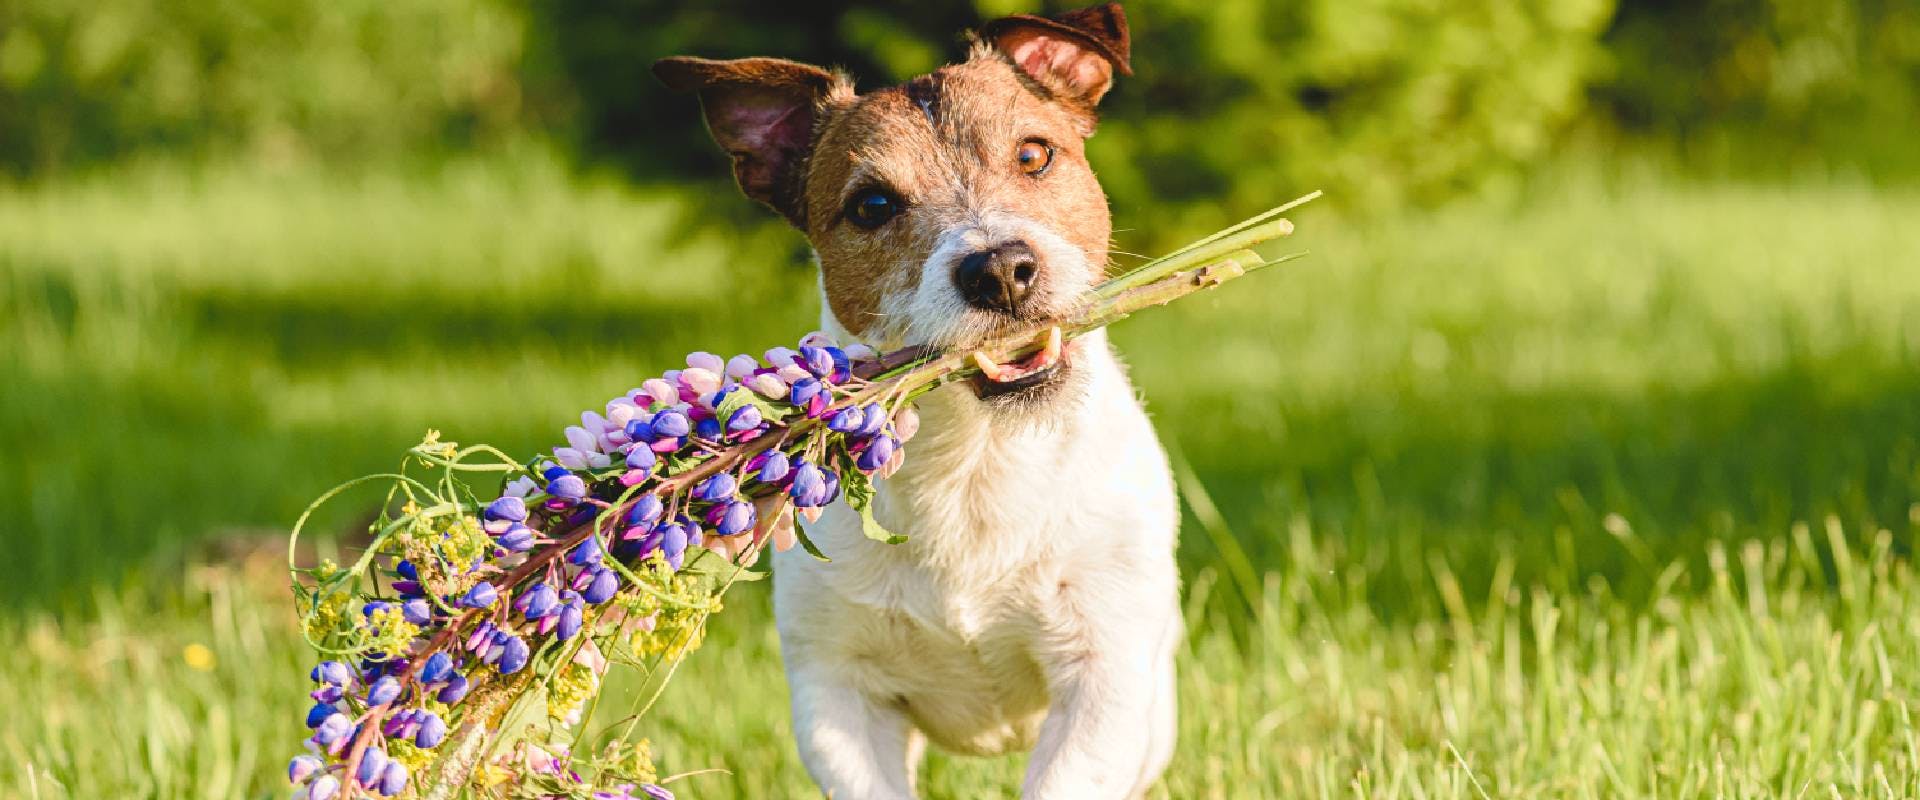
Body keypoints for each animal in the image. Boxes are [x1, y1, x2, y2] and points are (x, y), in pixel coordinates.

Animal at [652, 4, 1175, 790]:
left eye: (1034, 155)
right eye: (872, 205)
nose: (1001, 269)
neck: (977, 459)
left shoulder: (1102, 677)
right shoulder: (838, 696)